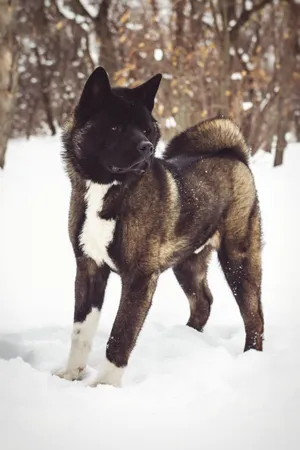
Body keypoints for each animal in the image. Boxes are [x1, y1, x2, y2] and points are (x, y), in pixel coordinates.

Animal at [56, 67, 262, 386]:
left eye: (146, 129)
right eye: (115, 127)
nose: (147, 147)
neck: (110, 190)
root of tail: (232, 154)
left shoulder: (139, 278)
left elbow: (121, 334)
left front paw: (105, 385)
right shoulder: (89, 268)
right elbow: (81, 331)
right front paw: (71, 375)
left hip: (238, 260)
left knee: (254, 316)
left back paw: (252, 358)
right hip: (187, 263)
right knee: (203, 302)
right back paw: (187, 338)